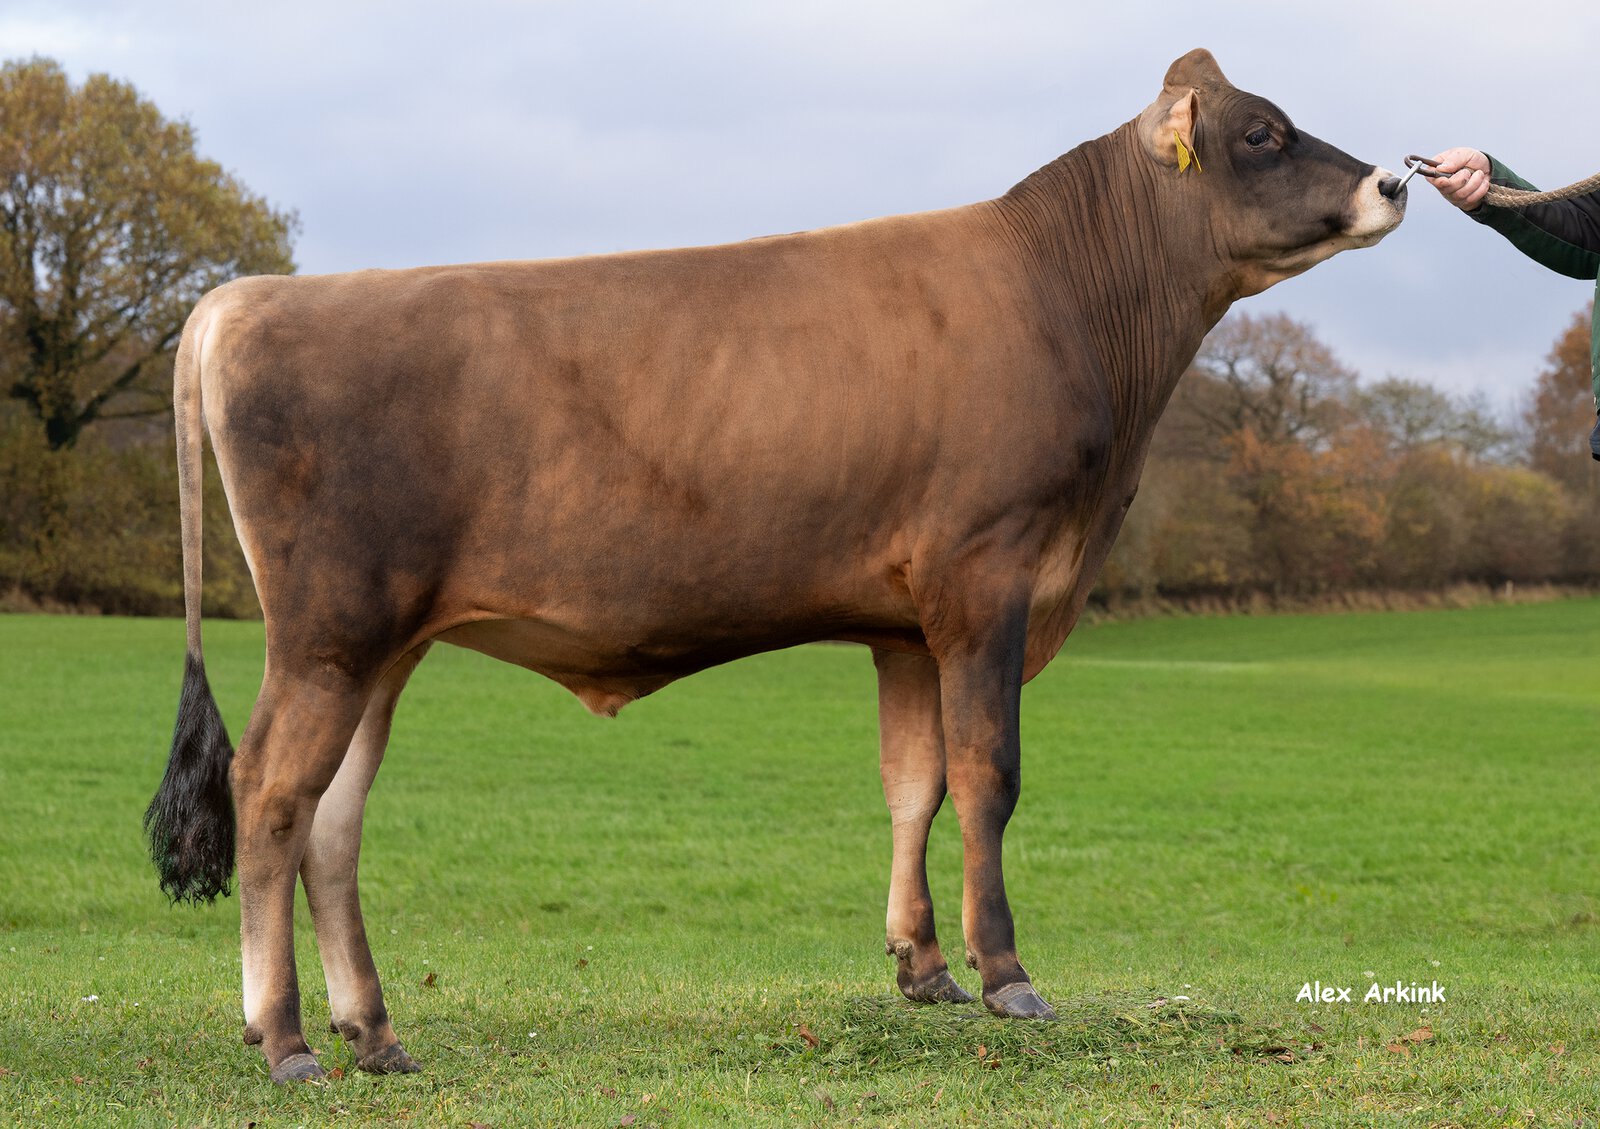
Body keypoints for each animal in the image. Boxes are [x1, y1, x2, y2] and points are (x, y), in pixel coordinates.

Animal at [145, 48, 1405, 1082]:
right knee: (269, 793)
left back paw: (374, 1031)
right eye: (1262, 134)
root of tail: (247, 298)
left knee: (333, 819)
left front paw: (921, 967)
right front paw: (1006, 976)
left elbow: (914, 780)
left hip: (382, 645)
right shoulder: (985, 579)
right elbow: (986, 776)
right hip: (328, 632)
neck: (1072, 303)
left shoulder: (905, 624)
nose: (1391, 183)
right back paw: (287, 1038)